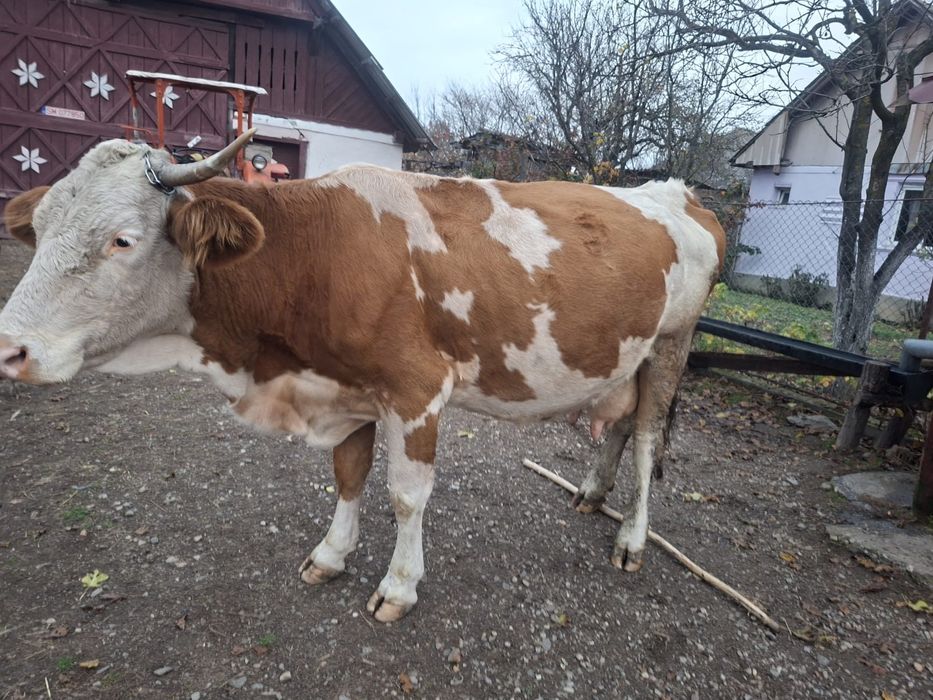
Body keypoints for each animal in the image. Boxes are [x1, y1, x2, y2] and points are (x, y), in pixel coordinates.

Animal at [0, 131, 725, 622]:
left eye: (122, 239)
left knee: (646, 443)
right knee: (618, 428)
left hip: (672, 345)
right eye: (41, 227)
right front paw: (331, 554)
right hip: (627, 354)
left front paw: (399, 586)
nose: (10, 348)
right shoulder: (343, 387)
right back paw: (591, 493)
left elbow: (406, 494)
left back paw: (631, 538)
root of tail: (674, 191)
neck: (316, 255)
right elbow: (348, 474)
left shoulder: (418, 390)